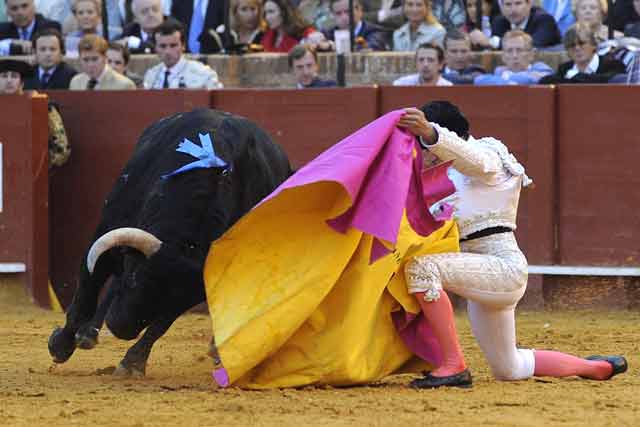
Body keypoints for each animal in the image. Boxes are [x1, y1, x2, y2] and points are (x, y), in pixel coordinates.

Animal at [47, 108, 292, 376]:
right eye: (135, 280)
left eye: (174, 299)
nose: (122, 329)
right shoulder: (105, 238)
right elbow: (85, 295)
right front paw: (60, 346)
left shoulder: (188, 291)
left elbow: (160, 325)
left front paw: (132, 363)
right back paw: (86, 335)